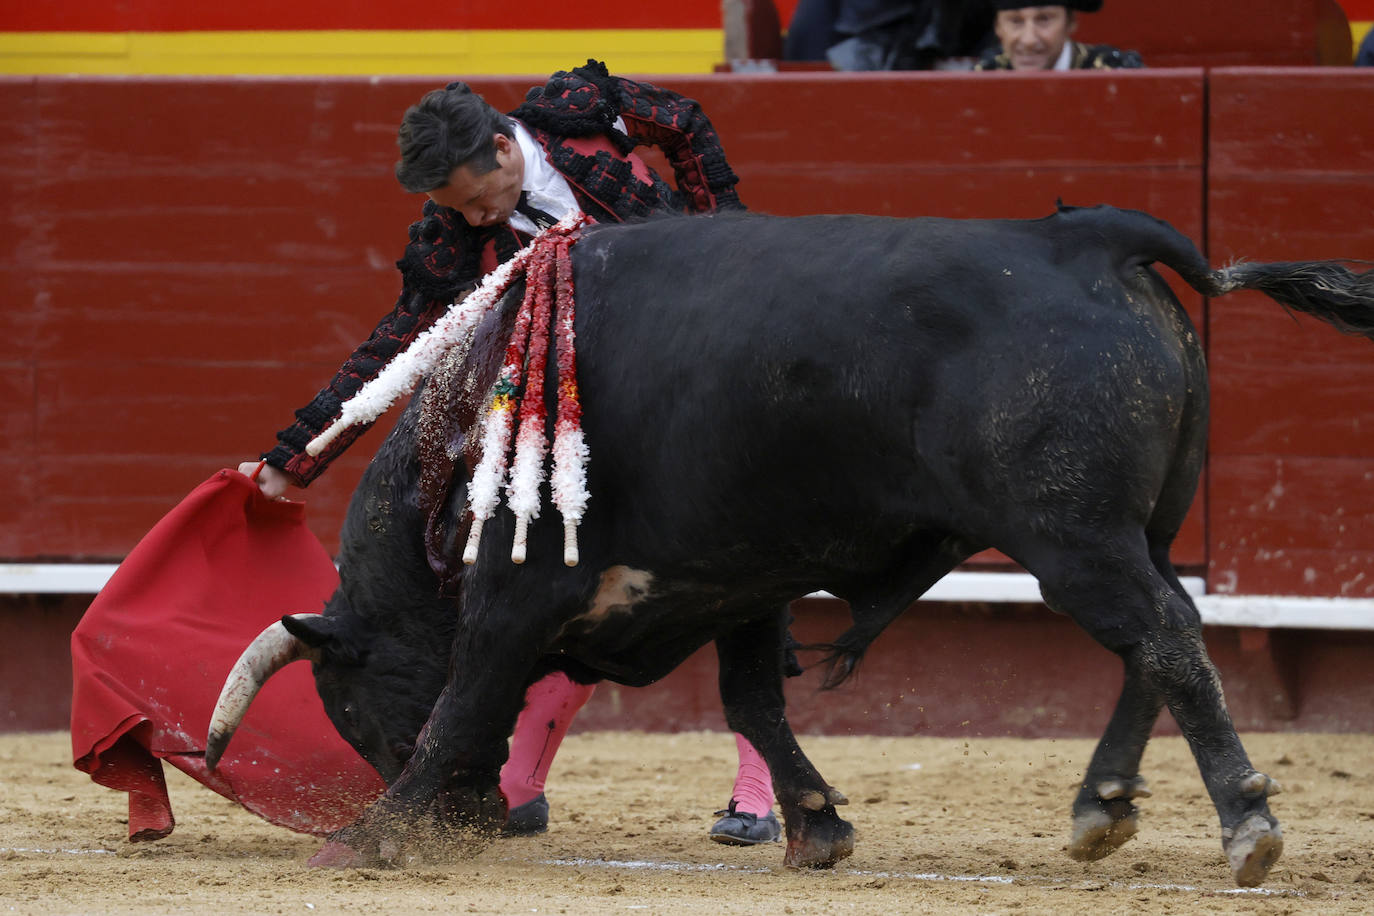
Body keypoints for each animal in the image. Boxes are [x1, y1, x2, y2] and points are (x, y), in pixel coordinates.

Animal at [203, 207, 1374, 889]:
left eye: (354, 709)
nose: (479, 824)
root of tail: (1087, 238)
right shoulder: (736, 578)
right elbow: (752, 698)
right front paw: (818, 824)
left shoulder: (515, 593)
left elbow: (462, 703)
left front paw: (371, 836)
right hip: (1144, 527)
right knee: (1160, 635)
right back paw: (1103, 808)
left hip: (1070, 533)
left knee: (1162, 634)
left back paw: (1244, 825)